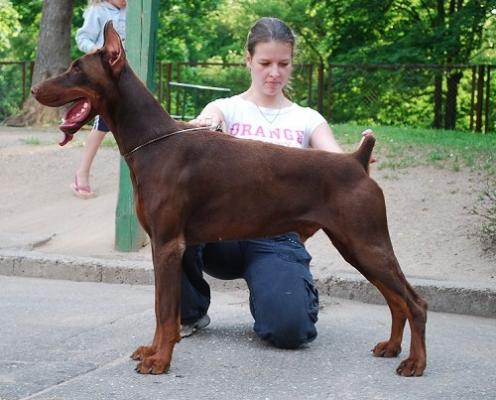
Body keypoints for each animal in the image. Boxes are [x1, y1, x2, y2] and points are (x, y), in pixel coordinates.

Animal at [31, 21, 426, 376]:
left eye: (76, 68)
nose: (35, 88)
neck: (153, 142)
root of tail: (357, 160)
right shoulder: (165, 244)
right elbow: (162, 310)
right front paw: (153, 351)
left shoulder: (167, 243)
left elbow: (164, 310)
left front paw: (160, 361)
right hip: (354, 245)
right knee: (396, 300)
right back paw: (392, 347)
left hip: (366, 241)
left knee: (415, 302)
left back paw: (415, 363)